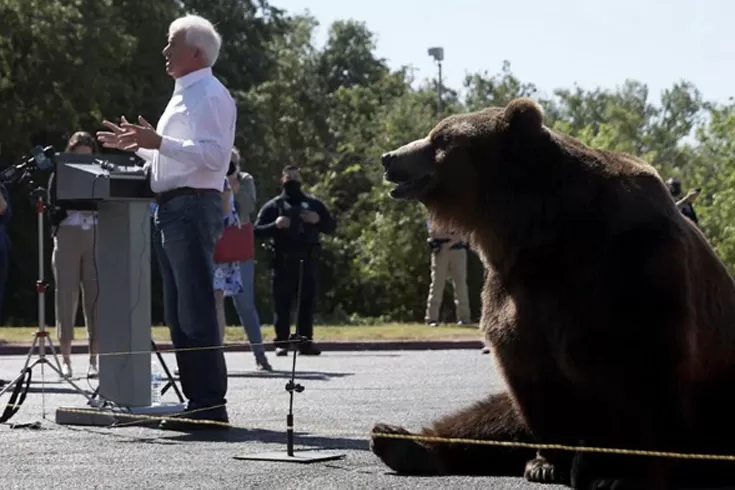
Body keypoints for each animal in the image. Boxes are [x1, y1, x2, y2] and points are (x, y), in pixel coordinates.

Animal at [374, 97, 735, 488]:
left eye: (440, 139)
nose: (389, 157)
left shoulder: (631, 268)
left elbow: (643, 373)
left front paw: (619, 474)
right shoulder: (516, 288)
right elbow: (530, 375)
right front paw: (546, 463)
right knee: (492, 415)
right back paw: (398, 440)